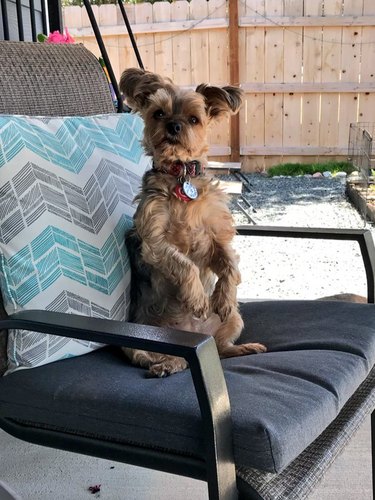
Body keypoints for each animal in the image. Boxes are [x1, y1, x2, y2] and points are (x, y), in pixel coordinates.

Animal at [119, 68, 266, 376]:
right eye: (158, 114)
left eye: (194, 119)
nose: (174, 126)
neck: (180, 175)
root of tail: (197, 335)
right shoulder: (154, 241)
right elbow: (184, 264)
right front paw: (198, 298)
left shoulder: (217, 236)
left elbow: (229, 264)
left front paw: (222, 297)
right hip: (139, 335)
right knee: (155, 356)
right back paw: (168, 363)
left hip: (234, 320)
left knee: (221, 347)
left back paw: (243, 347)